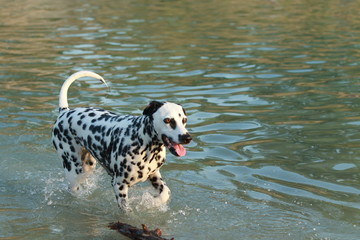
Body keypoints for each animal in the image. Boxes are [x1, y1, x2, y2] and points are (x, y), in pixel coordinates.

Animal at [52, 71, 191, 210]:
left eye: (184, 120)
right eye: (167, 120)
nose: (187, 137)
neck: (141, 141)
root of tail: (65, 112)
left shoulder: (154, 175)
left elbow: (165, 193)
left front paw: (154, 201)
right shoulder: (119, 185)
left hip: (88, 166)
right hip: (73, 171)